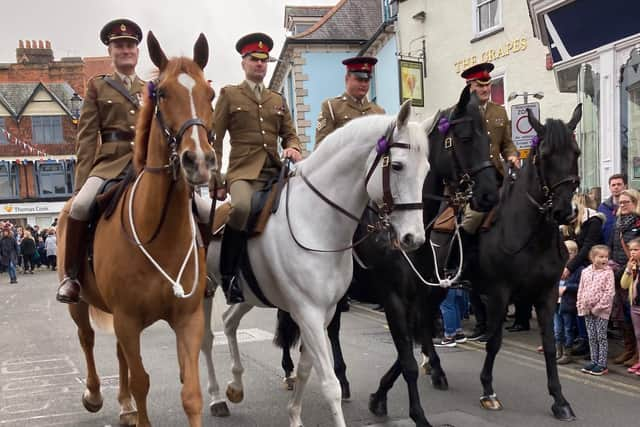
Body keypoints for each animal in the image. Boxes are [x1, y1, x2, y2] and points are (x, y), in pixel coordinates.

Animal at [55, 32, 215, 427]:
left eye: (210, 94)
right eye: (164, 93)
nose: (199, 161)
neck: (160, 232)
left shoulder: (187, 319)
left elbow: (191, 392)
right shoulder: (128, 320)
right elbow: (143, 382)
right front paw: (134, 407)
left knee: (117, 353)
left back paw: (124, 404)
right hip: (80, 303)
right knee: (87, 339)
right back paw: (95, 395)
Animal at [202, 102, 438, 426]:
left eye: (427, 170)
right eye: (398, 166)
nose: (413, 238)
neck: (316, 222)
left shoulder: (324, 313)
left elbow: (306, 370)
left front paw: (294, 415)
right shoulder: (310, 312)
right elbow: (330, 384)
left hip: (250, 294)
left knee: (228, 321)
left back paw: (235, 387)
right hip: (205, 291)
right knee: (206, 341)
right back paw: (215, 398)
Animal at [272, 85, 498, 426]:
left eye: (489, 137)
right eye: (466, 137)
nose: (490, 194)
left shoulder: (419, 297)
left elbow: (407, 352)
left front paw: (380, 397)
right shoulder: (393, 298)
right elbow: (407, 361)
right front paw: (417, 414)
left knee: (332, 330)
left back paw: (343, 378)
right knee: (290, 324)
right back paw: (291, 371)